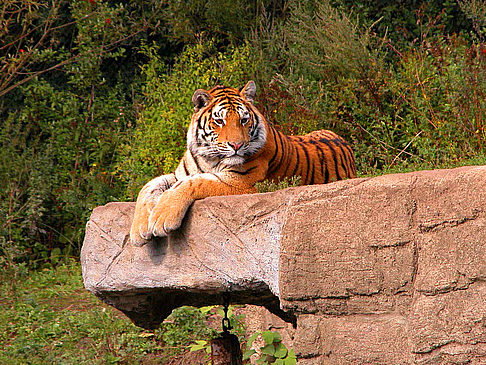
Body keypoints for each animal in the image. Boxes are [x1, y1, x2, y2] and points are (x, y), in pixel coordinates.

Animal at [131, 80, 356, 245]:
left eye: (244, 120)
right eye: (219, 121)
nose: (237, 145)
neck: (210, 158)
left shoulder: (242, 182)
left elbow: (195, 182)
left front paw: (161, 218)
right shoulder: (179, 173)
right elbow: (148, 186)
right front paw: (138, 231)